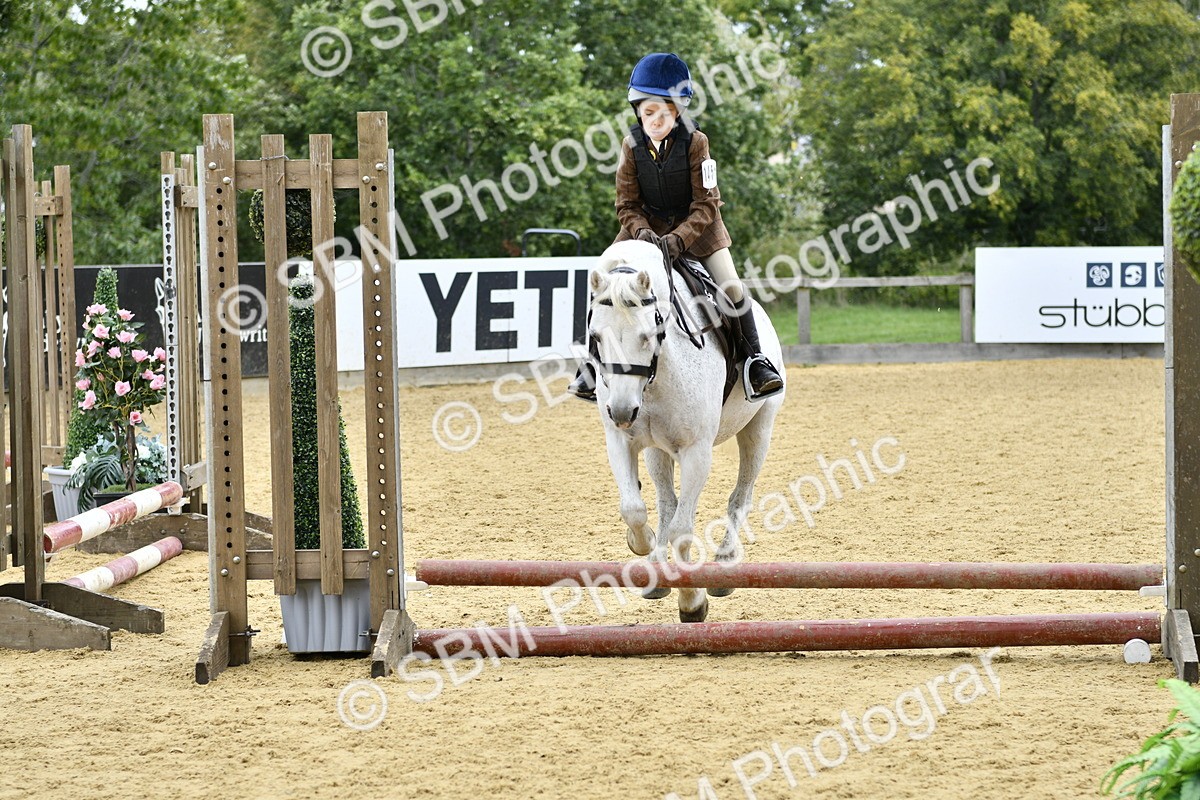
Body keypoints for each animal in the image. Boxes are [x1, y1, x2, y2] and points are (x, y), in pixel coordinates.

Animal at [586, 239, 785, 622]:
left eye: (647, 335)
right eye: (595, 336)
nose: (622, 412)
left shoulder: (696, 451)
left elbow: (682, 530)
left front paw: (692, 601)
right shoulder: (620, 440)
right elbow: (633, 508)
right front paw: (644, 545)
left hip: (759, 430)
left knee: (740, 497)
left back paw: (723, 564)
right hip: (656, 450)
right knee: (666, 502)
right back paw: (657, 570)